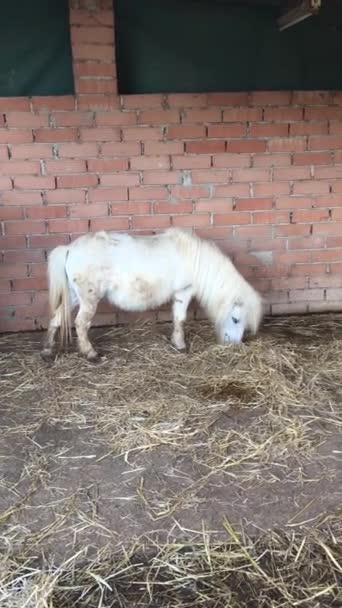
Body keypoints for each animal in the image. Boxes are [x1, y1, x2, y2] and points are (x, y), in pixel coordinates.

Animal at [41, 228, 264, 360]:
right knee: (80, 324)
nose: (233, 345)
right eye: (235, 319)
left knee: (56, 318)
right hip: (88, 298)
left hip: (73, 296)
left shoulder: (179, 293)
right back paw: (91, 354)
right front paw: (181, 345)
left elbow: (177, 318)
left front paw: (177, 343)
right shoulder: (185, 290)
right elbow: (181, 318)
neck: (195, 259)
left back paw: (47, 350)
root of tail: (69, 249)